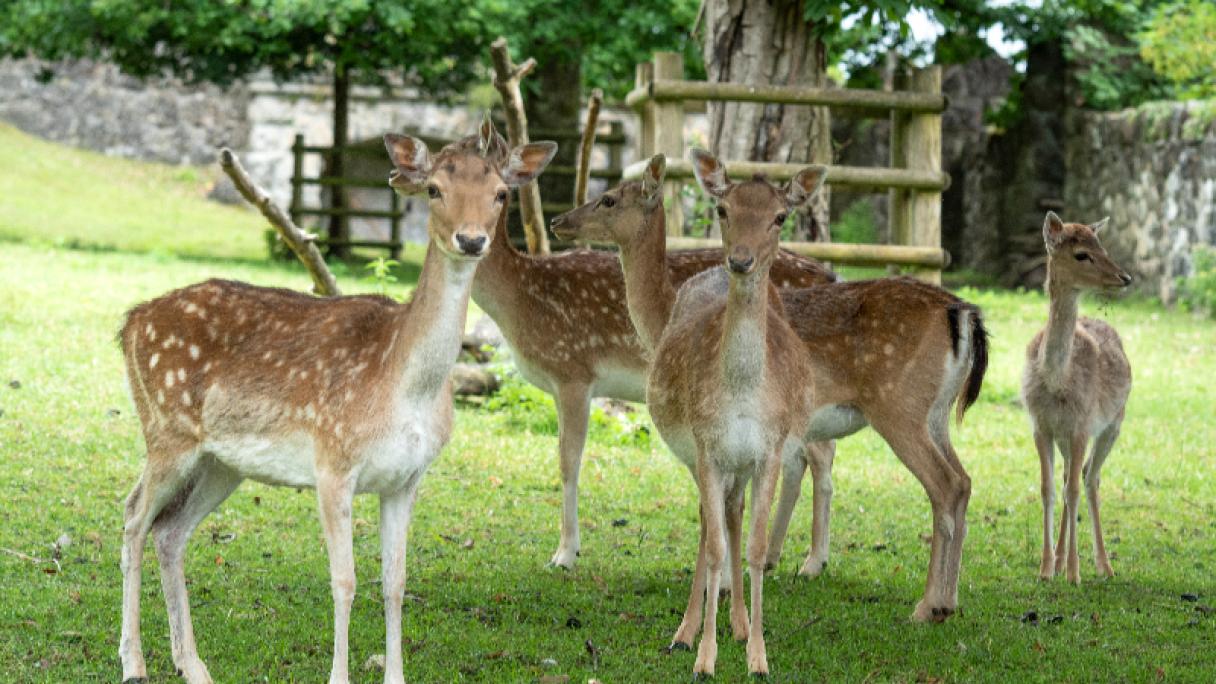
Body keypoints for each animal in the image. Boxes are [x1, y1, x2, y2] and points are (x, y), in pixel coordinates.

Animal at [116, 122, 554, 681]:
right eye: (435, 189)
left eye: (500, 193)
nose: (472, 239)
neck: (404, 385)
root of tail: (130, 322)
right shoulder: (332, 462)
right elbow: (344, 581)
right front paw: (339, 675)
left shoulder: (406, 479)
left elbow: (395, 581)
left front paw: (396, 675)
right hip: (166, 430)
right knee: (133, 516)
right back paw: (134, 662)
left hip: (221, 462)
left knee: (169, 531)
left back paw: (194, 665)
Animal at [464, 118, 836, 569]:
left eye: (608, 199)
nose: (558, 220)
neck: (518, 300)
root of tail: (831, 273)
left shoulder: (573, 372)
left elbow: (569, 461)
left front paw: (565, 554)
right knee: (801, 460)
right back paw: (778, 556)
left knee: (820, 456)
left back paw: (813, 560)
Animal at [552, 151, 987, 628]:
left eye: (609, 199)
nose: (559, 221)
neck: (662, 317)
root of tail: (961, 313)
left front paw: (725, 589)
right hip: (937, 412)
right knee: (963, 481)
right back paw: (947, 598)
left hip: (899, 406)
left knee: (944, 485)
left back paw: (927, 605)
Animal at [1021, 209, 1133, 579]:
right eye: (1081, 254)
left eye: (1103, 246)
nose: (1125, 277)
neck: (1057, 380)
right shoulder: (1041, 426)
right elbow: (1048, 489)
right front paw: (1045, 569)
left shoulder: (1083, 424)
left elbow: (1072, 490)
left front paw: (1074, 573)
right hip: (1066, 438)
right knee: (1072, 475)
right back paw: (1059, 559)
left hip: (1114, 424)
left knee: (1089, 479)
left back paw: (1104, 565)